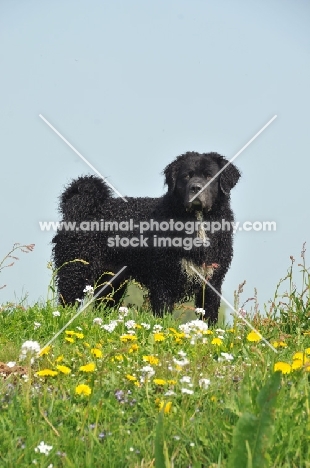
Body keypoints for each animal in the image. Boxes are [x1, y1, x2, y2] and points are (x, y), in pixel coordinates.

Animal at [52, 152, 240, 324]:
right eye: (187, 175)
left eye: (209, 176)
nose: (196, 187)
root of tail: (80, 205)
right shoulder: (162, 279)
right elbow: (163, 314)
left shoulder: (212, 281)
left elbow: (209, 317)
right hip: (75, 270)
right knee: (66, 302)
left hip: (112, 282)